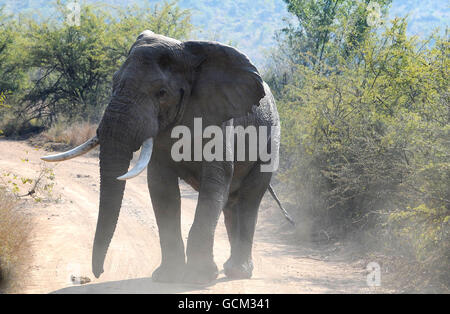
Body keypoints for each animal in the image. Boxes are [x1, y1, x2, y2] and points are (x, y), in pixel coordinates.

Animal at [42, 30, 294, 284]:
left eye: (162, 93)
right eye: (113, 82)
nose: (97, 274)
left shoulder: (220, 119)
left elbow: (215, 181)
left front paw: (199, 277)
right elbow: (162, 188)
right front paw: (168, 276)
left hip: (272, 140)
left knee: (248, 199)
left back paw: (238, 272)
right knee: (231, 203)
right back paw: (230, 267)